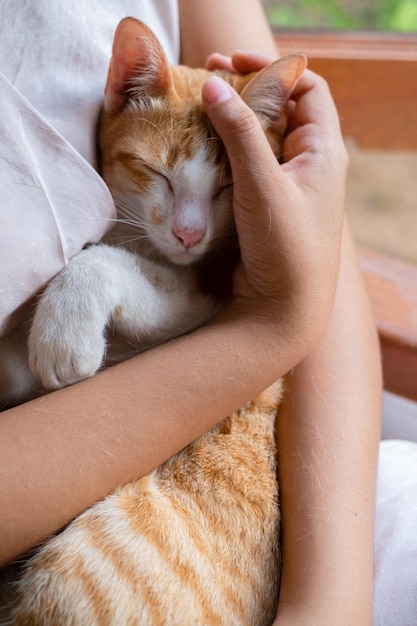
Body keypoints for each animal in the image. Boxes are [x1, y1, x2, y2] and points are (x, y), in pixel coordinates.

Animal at [0, 18, 306, 624]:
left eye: (229, 188)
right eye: (157, 173)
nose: (190, 235)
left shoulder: (205, 302)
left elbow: (113, 264)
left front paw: (62, 329)